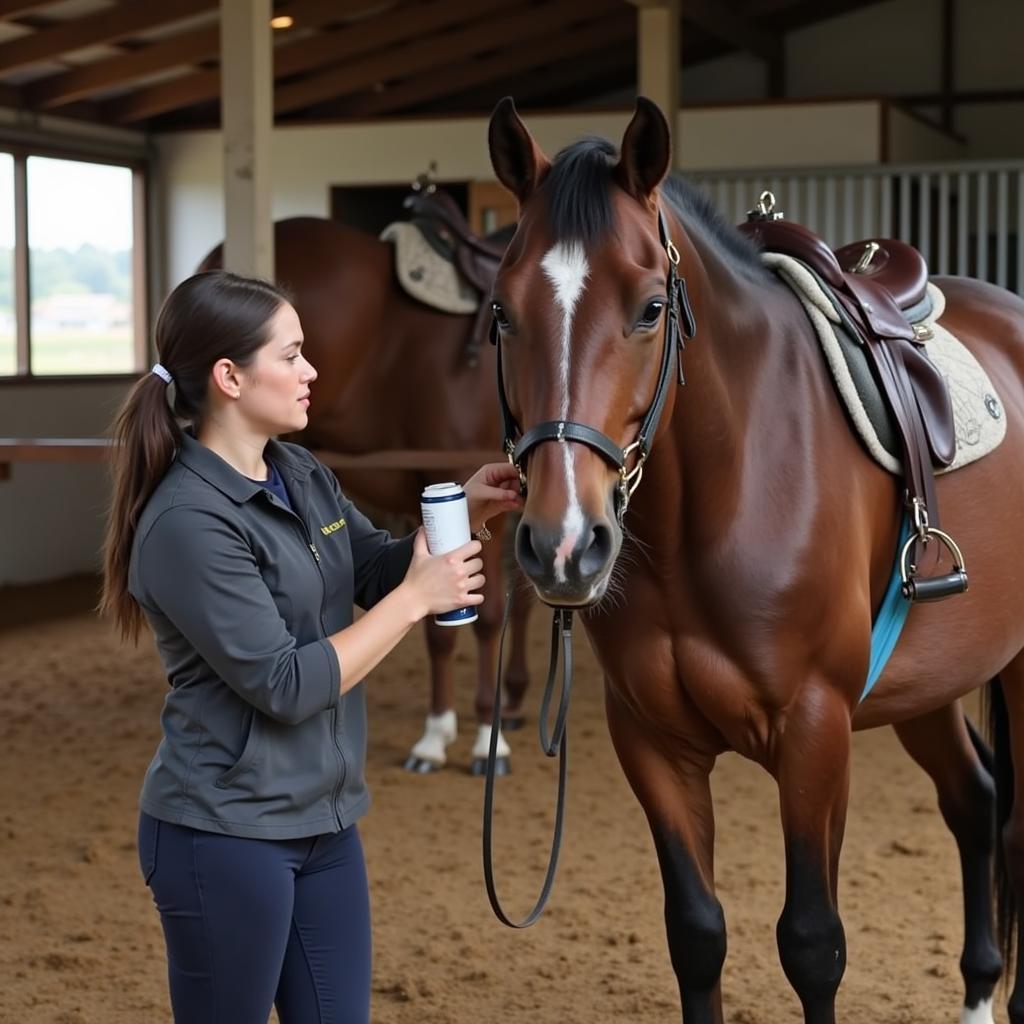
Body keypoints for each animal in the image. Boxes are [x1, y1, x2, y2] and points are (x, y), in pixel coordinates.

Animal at [485, 97, 1024, 1024]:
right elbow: (697, 933)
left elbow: (812, 944)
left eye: (649, 308)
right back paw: (980, 992)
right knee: (976, 799)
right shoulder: (651, 739)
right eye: (504, 311)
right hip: (927, 679)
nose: (564, 544)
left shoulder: (815, 731)